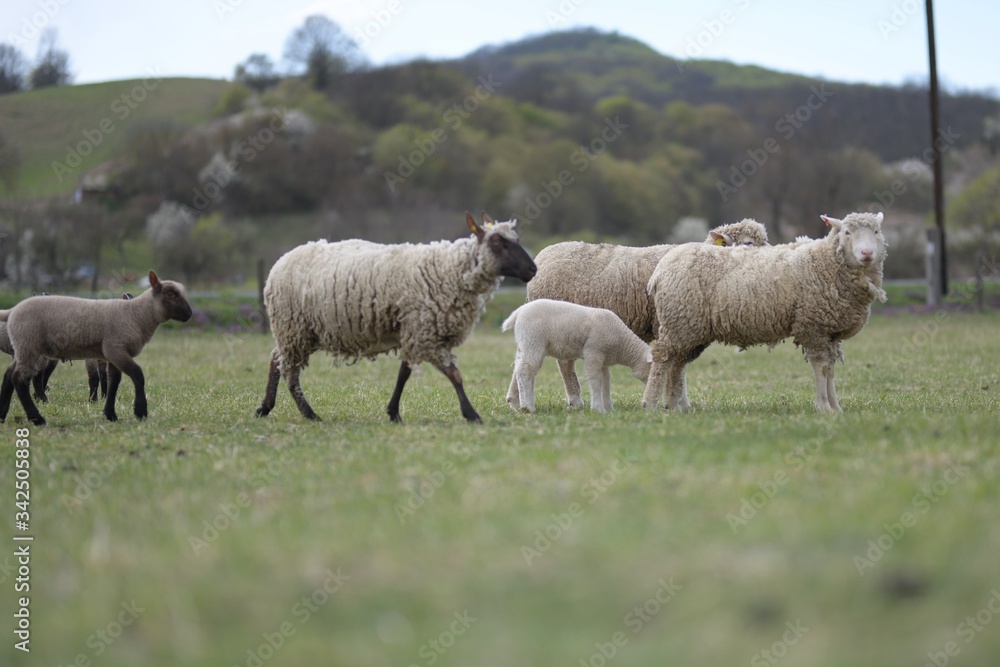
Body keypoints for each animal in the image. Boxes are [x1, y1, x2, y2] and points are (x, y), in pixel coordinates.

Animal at [0, 274, 191, 426]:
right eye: (170, 294)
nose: (189, 314)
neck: (134, 314)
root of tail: (12, 311)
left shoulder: (111, 355)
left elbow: (112, 380)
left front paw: (109, 411)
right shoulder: (112, 351)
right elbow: (131, 375)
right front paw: (139, 410)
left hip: (25, 350)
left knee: (11, 375)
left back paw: (4, 415)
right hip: (30, 349)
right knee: (22, 378)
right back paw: (37, 417)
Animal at [258, 211, 540, 426]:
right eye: (497, 243)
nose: (532, 269)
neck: (448, 270)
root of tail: (279, 263)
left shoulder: (415, 330)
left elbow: (404, 373)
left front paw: (393, 412)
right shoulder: (423, 331)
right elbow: (454, 374)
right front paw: (472, 414)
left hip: (298, 331)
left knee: (275, 359)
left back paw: (265, 407)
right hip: (292, 327)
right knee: (289, 371)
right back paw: (309, 413)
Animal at [500, 298, 656, 412]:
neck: (623, 343)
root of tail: (519, 312)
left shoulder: (603, 360)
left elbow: (606, 382)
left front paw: (609, 409)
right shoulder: (593, 352)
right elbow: (596, 380)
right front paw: (598, 409)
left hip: (527, 343)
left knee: (522, 368)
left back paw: (522, 403)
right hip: (533, 340)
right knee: (525, 370)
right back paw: (528, 407)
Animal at [524, 219, 764, 408]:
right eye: (749, 243)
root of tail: (543, 255)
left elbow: (679, 367)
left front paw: (681, 403)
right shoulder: (670, 325)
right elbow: (675, 366)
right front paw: (673, 402)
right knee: (565, 364)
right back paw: (576, 400)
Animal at [644, 213, 888, 412]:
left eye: (877, 231)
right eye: (847, 232)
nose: (867, 252)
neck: (824, 262)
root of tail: (660, 270)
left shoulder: (831, 332)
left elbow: (830, 369)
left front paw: (836, 407)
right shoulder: (813, 327)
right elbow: (821, 368)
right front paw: (824, 407)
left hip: (686, 326)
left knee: (676, 364)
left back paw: (674, 406)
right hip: (678, 321)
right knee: (662, 359)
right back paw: (651, 404)